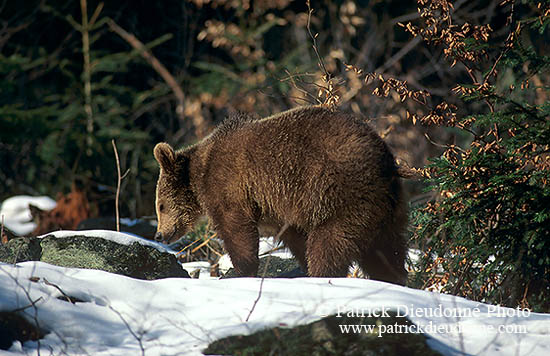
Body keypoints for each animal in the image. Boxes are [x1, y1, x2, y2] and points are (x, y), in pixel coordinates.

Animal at [155, 105, 410, 284]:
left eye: (160, 205)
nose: (159, 234)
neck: (199, 172)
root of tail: (385, 161)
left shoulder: (229, 184)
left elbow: (236, 228)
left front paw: (240, 271)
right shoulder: (281, 207)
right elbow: (294, 236)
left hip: (341, 195)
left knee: (330, 243)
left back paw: (323, 275)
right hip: (386, 208)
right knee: (387, 251)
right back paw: (394, 279)